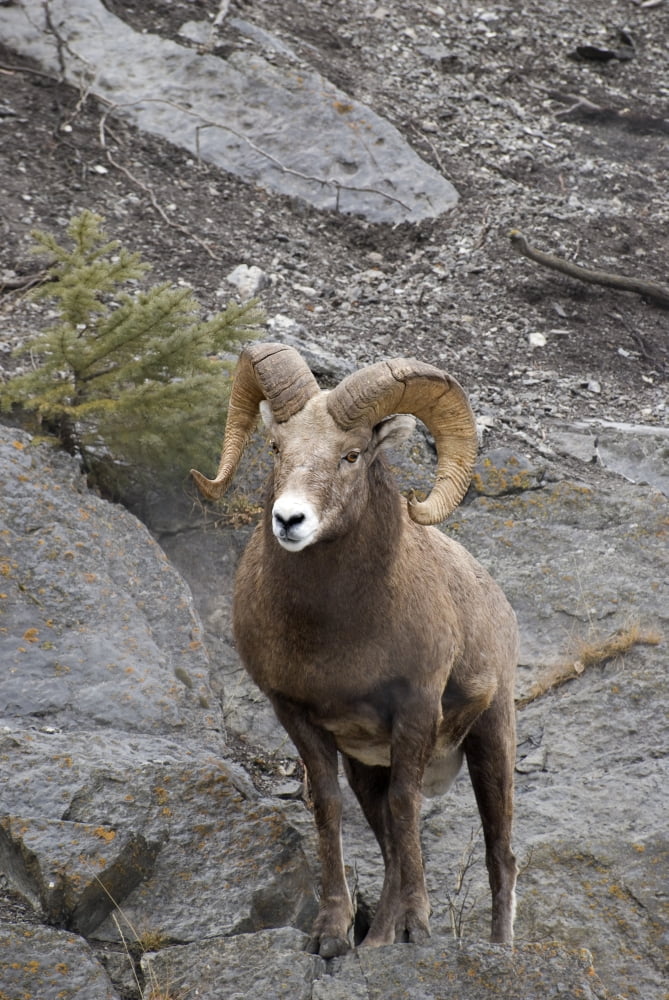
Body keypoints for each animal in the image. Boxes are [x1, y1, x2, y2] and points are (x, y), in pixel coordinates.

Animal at [192, 342, 518, 958]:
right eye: (277, 447)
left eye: (351, 454)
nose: (289, 520)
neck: (338, 634)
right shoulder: (297, 715)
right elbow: (330, 808)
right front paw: (333, 935)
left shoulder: (415, 709)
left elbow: (407, 809)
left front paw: (417, 929)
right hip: (369, 765)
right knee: (388, 840)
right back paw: (378, 940)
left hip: (493, 734)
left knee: (499, 854)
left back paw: (496, 947)